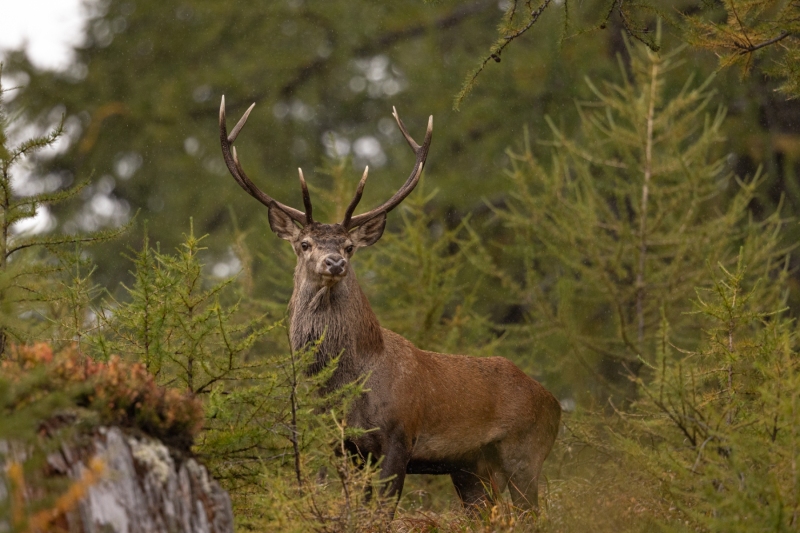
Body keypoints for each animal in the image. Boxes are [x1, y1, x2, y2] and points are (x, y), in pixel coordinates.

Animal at [218, 96, 562, 515]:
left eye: (350, 246)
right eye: (304, 244)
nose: (335, 262)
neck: (343, 389)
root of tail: (556, 404)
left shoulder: (400, 436)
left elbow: (381, 512)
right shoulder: (339, 443)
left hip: (525, 451)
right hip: (469, 466)